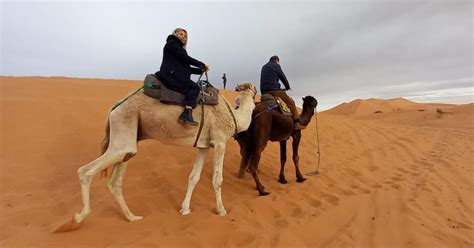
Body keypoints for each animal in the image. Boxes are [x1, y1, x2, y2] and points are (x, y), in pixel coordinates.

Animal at [72, 82, 256, 224]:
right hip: (124, 127)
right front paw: (221, 210)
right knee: (85, 171)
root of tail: (112, 109)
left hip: (128, 139)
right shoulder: (219, 141)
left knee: (115, 181)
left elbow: (193, 177)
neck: (234, 116)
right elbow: (217, 179)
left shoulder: (204, 146)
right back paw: (79, 216)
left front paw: (185, 209)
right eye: (255, 92)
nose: (259, 96)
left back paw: (132, 217)